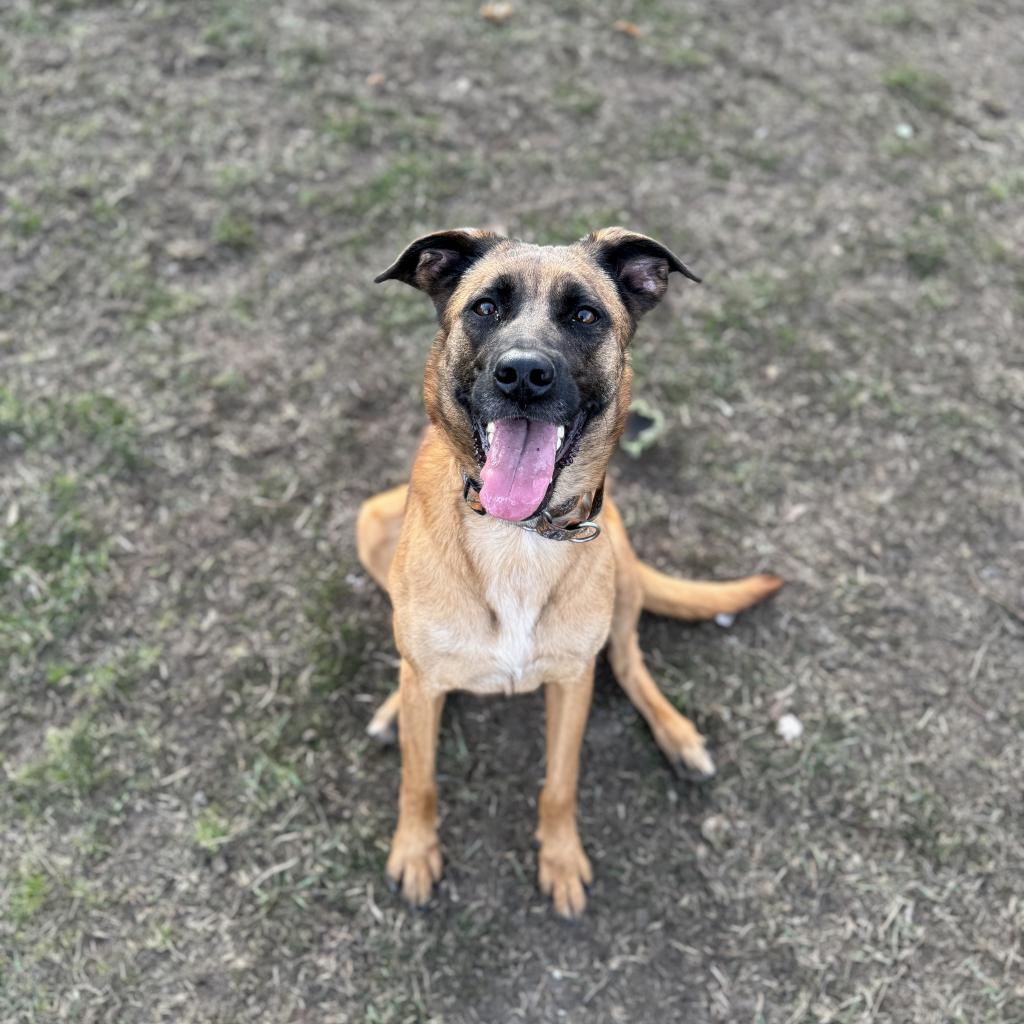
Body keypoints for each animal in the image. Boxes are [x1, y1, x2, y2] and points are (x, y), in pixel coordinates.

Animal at [356, 228, 778, 917]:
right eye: (485, 308)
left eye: (585, 316)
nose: (524, 375)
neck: (519, 536)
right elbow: (419, 780)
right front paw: (415, 851)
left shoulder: (571, 682)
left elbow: (560, 782)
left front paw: (560, 860)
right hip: (372, 525)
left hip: (623, 568)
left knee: (629, 660)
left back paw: (678, 735)